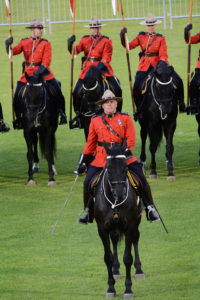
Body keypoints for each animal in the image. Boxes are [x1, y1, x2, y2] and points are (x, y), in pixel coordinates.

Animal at [94, 142, 144, 298]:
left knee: (136, 239)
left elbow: (128, 257)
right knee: (115, 241)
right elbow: (108, 258)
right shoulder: (102, 229)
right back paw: (116, 270)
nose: (120, 193)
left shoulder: (130, 226)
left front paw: (128, 289)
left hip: (136, 222)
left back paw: (139, 270)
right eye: (108, 168)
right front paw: (111, 288)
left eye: (125, 168)